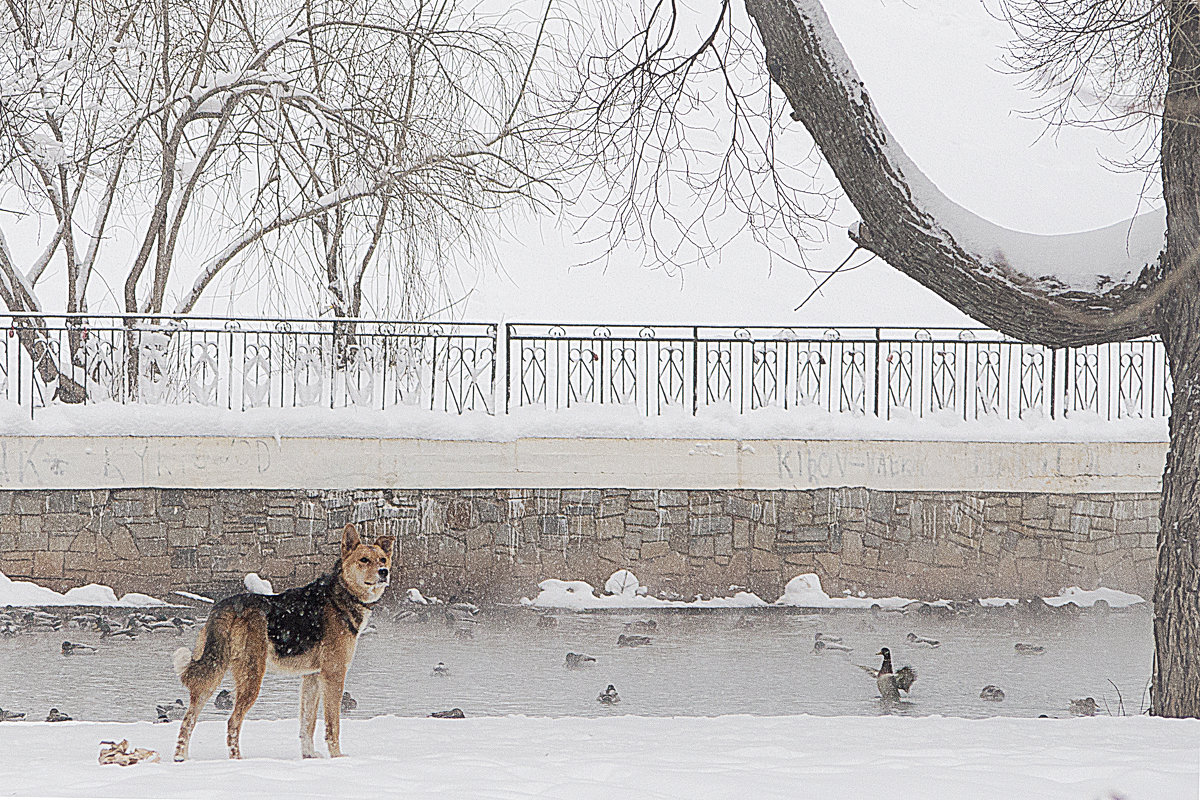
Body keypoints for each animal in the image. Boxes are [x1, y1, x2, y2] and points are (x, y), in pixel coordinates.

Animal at [171, 525, 393, 762]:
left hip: (212, 673)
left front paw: (309, 756)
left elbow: (307, 724)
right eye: (364, 560)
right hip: (251, 676)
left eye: (382, 559)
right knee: (232, 722)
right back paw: (238, 760)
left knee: (188, 721)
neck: (340, 596)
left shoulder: (311, 677)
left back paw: (181, 759)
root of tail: (227, 606)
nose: (384, 572)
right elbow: (332, 726)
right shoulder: (334, 675)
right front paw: (338, 758)